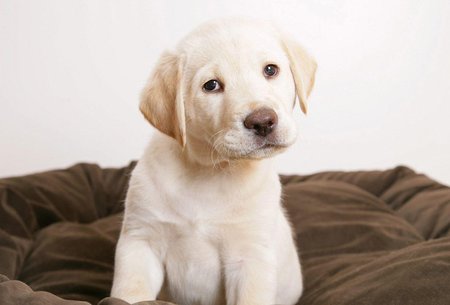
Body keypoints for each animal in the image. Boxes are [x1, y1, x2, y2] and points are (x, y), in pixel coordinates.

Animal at [112, 18, 316, 304]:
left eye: (270, 70)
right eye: (211, 85)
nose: (263, 121)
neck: (211, 170)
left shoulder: (250, 257)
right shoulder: (141, 241)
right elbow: (130, 292)